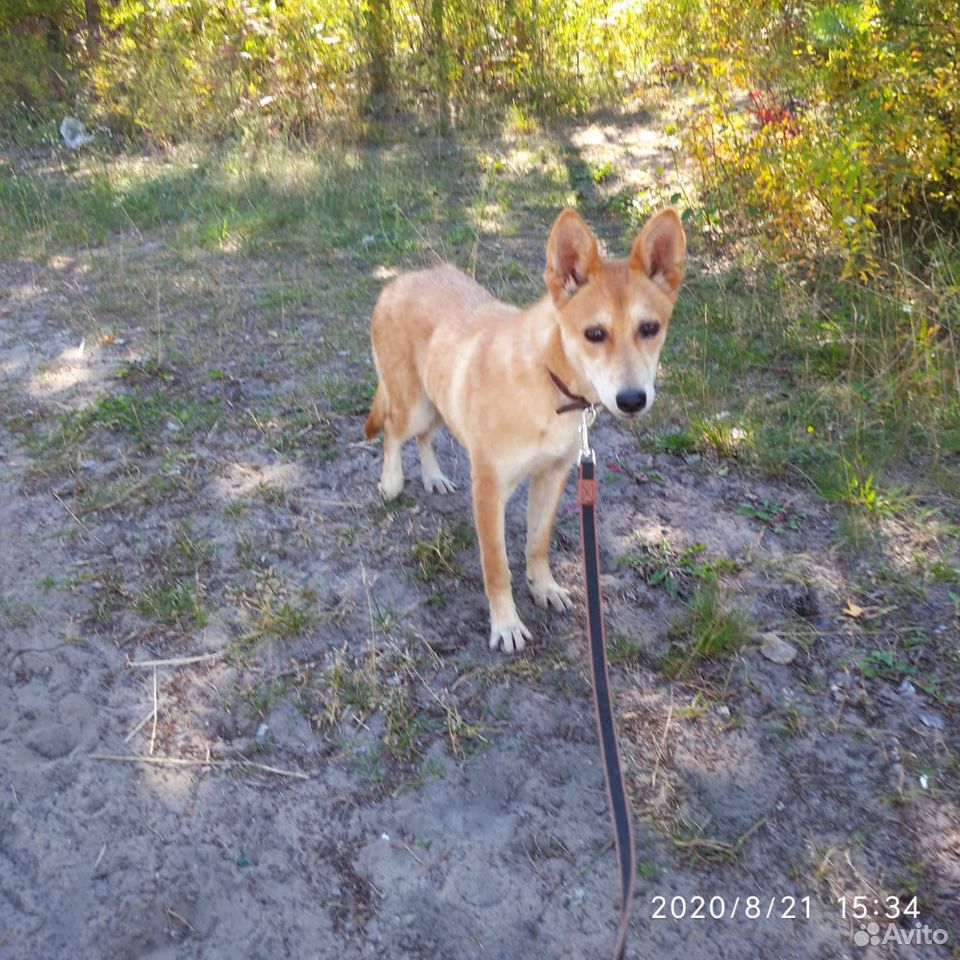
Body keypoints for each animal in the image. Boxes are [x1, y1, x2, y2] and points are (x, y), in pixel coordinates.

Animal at [364, 209, 688, 652]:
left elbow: (537, 544)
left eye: (650, 328)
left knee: (424, 436)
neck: (548, 381)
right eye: (595, 334)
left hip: (437, 402)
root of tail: (401, 279)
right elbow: (497, 567)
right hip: (413, 403)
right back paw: (391, 482)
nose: (632, 400)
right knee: (394, 432)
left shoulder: (553, 476)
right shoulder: (488, 490)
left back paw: (432, 477)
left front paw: (544, 588)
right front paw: (505, 624)